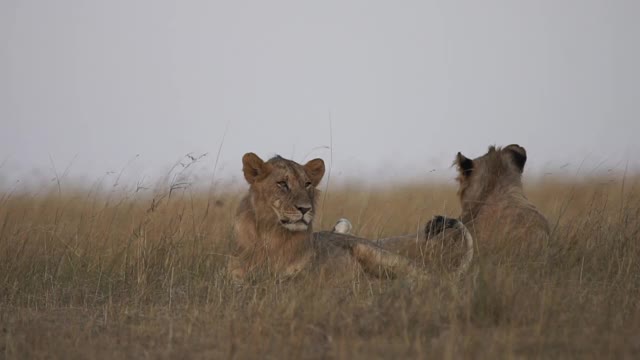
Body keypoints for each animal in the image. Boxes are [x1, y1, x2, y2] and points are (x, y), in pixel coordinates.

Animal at [228, 153, 472, 282]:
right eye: (282, 184)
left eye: (307, 184)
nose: (305, 209)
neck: (273, 236)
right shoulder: (236, 278)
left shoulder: (300, 277)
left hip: (384, 257)